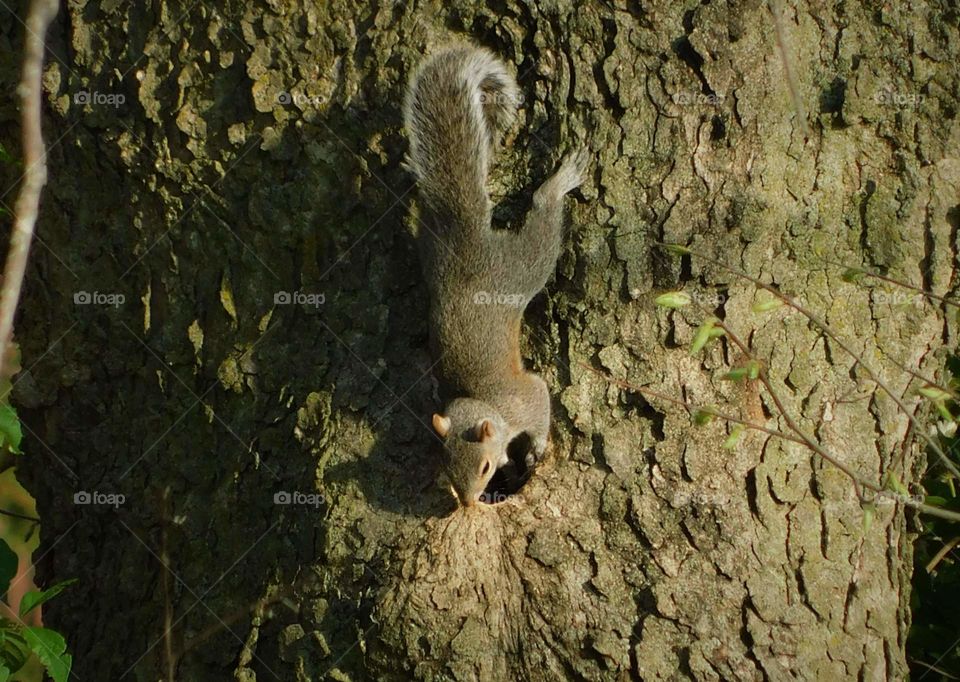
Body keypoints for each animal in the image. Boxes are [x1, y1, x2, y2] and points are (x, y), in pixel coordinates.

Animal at [402, 44, 588, 507]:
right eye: (447, 467)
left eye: (484, 467)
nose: (469, 503)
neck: (481, 401)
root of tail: (467, 237)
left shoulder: (526, 399)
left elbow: (540, 401)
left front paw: (534, 449)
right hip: (434, 248)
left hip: (520, 269)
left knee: (542, 226)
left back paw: (557, 185)